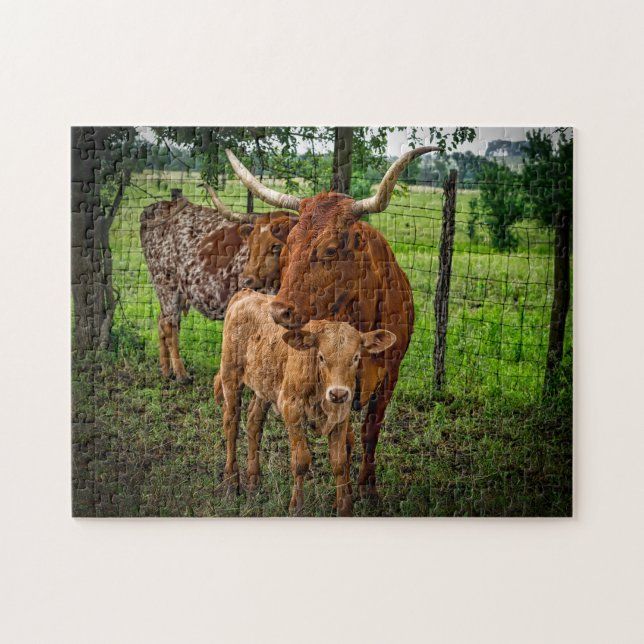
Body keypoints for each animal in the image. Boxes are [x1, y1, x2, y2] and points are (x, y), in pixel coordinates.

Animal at [140, 187, 297, 382]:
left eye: (276, 246)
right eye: (251, 244)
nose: (246, 280)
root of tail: (157, 207)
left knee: (162, 320)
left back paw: (166, 372)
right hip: (166, 281)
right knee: (170, 325)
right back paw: (181, 374)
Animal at [214, 289, 396, 516]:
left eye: (355, 357)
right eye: (321, 357)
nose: (338, 393)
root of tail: (246, 294)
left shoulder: (341, 416)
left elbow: (339, 462)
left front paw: (344, 507)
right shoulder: (292, 410)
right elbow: (301, 460)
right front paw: (296, 506)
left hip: (264, 386)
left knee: (254, 423)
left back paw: (254, 481)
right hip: (230, 375)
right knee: (231, 425)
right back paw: (231, 482)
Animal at [225, 145, 440, 497]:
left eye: (328, 250)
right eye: (287, 249)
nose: (279, 311)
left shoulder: (390, 374)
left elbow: (370, 431)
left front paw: (368, 487)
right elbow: (348, 439)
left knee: (256, 413)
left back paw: (254, 477)